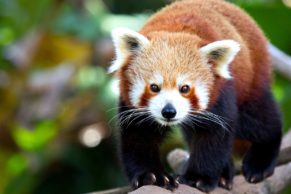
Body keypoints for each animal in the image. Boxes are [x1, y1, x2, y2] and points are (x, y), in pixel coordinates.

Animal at [110, 0, 282, 192]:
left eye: (184, 88)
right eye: (154, 87)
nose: (169, 112)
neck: (174, 30)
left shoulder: (220, 93)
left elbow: (213, 136)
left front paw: (197, 178)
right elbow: (139, 135)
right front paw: (151, 175)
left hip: (252, 79)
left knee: (260, 121)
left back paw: (261, 161)